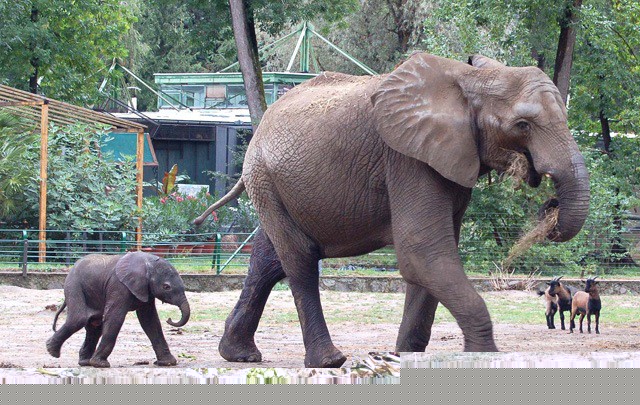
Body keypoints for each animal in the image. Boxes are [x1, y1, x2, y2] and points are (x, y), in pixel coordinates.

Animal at [46, 251, 190, 368]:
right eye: (166, 287)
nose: (170, 319)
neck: (147, 262)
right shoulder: (118, 287)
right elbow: (116, 317)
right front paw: (101, 365)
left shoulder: (145, 290)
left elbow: (150, 321)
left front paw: (168, 363)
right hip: (74, 285)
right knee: (79, 318)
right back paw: (52, 351)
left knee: (94, 326)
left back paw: (85, 362)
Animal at [194, 53, 590, 367]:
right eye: (522, 125)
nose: (550, 203)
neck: (470, 79)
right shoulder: (406, 158)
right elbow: (422, 250)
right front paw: (484, 359)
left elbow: (434, 257)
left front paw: (406, 357)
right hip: (264, 175)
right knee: (300, 259)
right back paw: (328, 361)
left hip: (273, 185)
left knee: (269, 260)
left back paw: (239, 355)